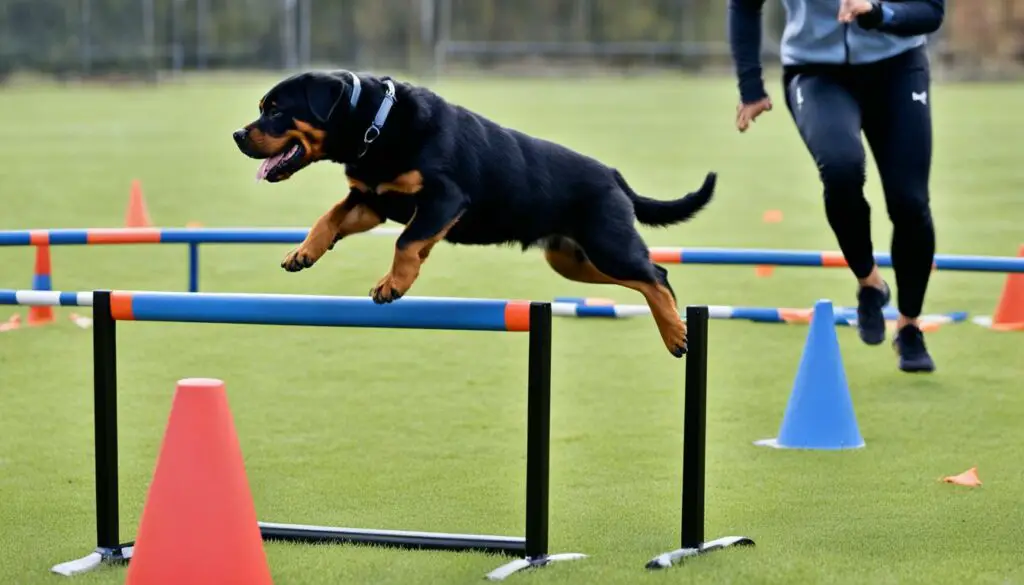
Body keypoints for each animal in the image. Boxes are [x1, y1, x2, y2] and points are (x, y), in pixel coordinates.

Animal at [233, 69, 716, 356]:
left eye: (276, 110)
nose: (238, 134)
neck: (376, 125)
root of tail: (613, 174)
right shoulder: (372, 199)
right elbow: (330, 217)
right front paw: (303, 252)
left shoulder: (445, 198)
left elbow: (407, 241)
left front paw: (393, 284)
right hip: (573, 260)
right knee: (651, 275)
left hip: (607, 244)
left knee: (656, 275)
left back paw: (676, 334)